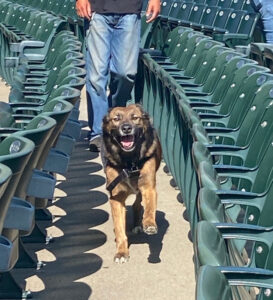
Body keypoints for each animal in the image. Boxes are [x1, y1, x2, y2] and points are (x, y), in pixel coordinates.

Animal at [102, 104, 162, 264]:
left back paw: (138, 224)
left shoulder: (148, 187)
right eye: (116, 119)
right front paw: (122, 252)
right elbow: (119, 227)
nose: (127, 128)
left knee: (137, 204)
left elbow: (149, 207)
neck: (129, 163)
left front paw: (149, 223)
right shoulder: (116, 197)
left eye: (135, 117)